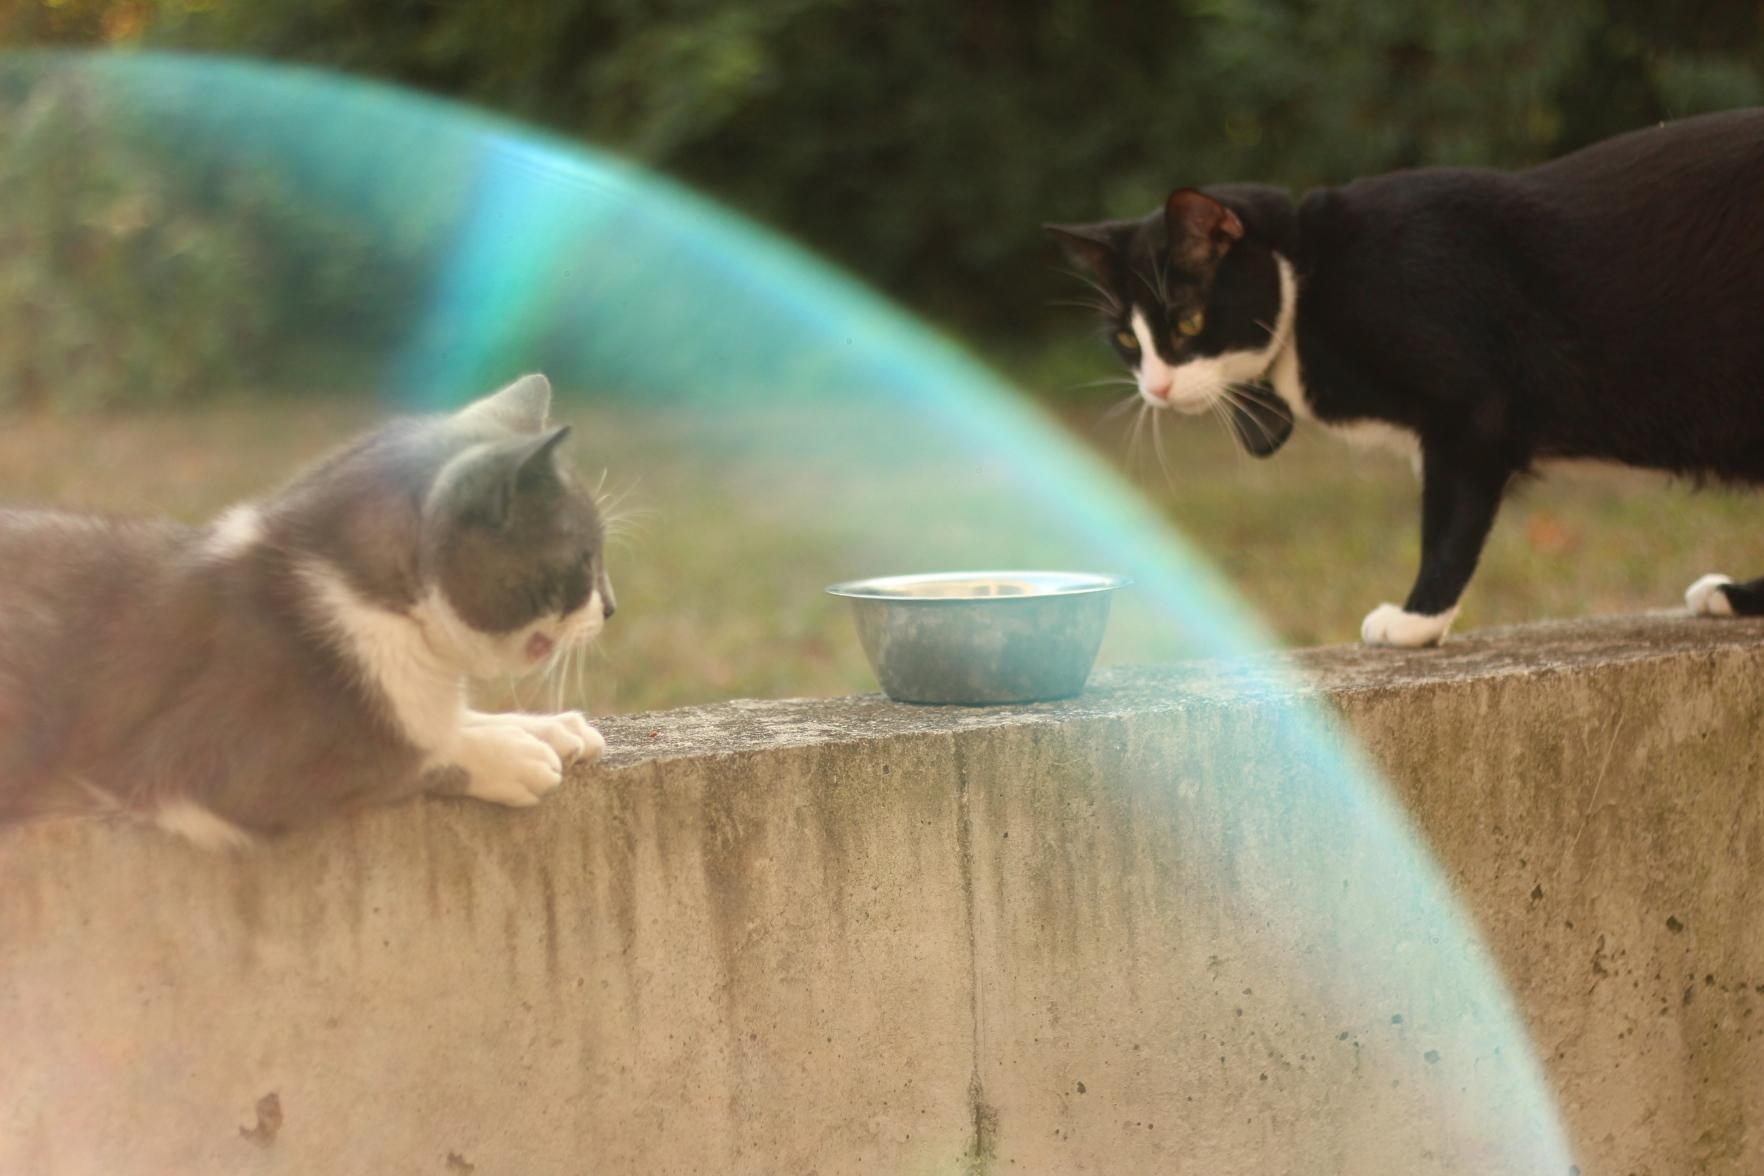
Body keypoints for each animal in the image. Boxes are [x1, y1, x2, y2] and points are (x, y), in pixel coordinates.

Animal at [0, 377, 613, 846]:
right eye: (584, 560)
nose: (610, 607)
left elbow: (440, 718)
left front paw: (548, 726)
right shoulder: (219, 758)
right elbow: (402, 753)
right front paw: (511, 754)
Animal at [1044, 107, 1764, 645]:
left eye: (1187, 322)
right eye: (1125, 341)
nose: (1156, 389)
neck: (1313, 277)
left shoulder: (1471, 407)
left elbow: (1450, 515)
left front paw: (1417, 619)